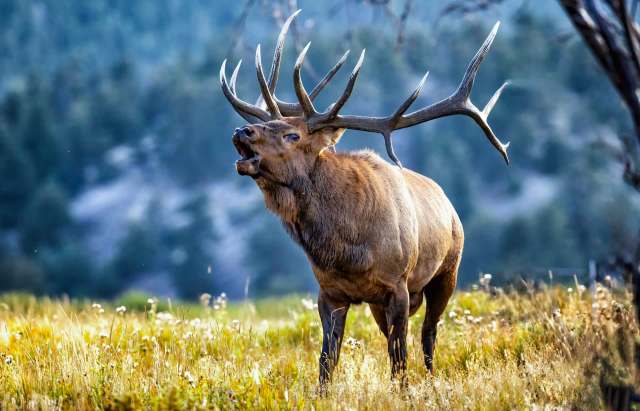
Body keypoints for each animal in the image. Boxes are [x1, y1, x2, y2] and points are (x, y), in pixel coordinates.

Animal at [219, 10, 510, 386]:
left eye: (292, 134)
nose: (242, 131)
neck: (347, 249)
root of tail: (448, 204)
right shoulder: (330, 293)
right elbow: (327, 361)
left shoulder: (398, 286)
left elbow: (399, 360)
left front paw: (404, 391)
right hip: (377, 303)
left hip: (447, 271)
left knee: (428, 333)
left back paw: (432, 378)